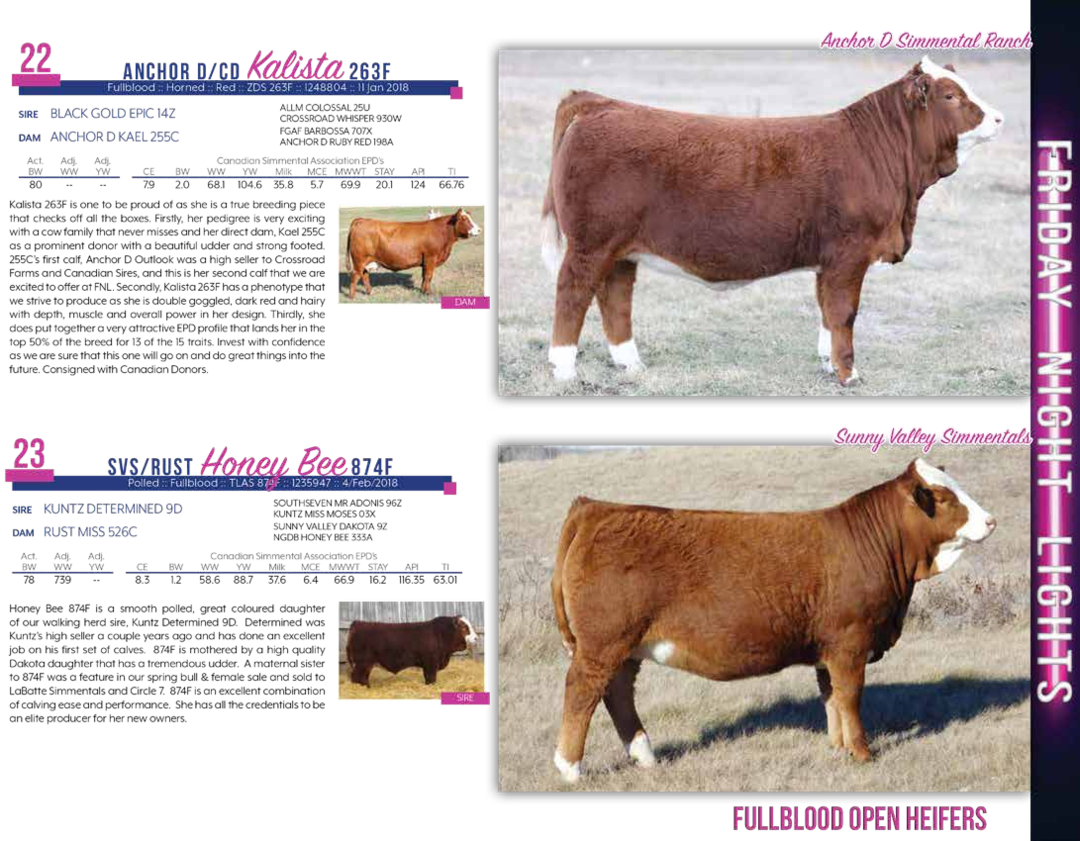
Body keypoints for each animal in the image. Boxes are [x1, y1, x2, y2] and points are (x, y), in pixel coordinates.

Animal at [345, 208, 481, 299]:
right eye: (464, 219)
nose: (479, 230)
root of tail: (362, 220)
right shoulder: (431, 258)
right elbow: (429, 276)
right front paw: (428, 293)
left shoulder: (425, 261)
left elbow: (424, 276)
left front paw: (422, 291)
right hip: (359, 260)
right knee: (355, 276)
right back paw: (352, 297)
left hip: (365, 260)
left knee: (364, 275)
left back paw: (370, 292)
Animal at [346, 615, 479, 686]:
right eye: (464, 628)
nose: (476, 638)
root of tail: (357, 623)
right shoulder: (431, 662)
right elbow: (431, 677)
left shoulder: (428, 663)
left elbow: (428, 677)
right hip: (363, 662)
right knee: (356, 676)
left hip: (367, 663)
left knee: (363, 677)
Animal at [541, 57, 1004, 385]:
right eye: (950, 96)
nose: (999, 117)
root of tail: (599, 103)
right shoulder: (850, 254)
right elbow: (845, 312)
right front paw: (849, 374)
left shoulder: (828, 261)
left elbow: (826, 310)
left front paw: (827, 365)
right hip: (590, 244)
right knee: (572, 294)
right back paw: (564, 370)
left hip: (623, 249)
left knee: (615, 297)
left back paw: (630, 364)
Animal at [549, 459, 996, 782]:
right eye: (943, 497)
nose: (991, 520)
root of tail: (597, 508)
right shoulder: (851, 642)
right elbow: (851, 697)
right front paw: (863, 753)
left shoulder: (827, 648)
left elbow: (831, 699)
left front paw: (838, 748)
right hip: (602, 644)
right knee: (581, 692)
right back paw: (570, 769)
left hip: (623, 648)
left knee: (617, 693)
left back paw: (644, 756)